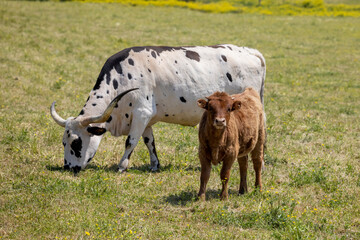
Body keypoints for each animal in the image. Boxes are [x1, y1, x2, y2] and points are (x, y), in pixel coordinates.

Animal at [50, 44, 264, 173]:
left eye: (76, 143)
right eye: (63, 142)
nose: (68, 167)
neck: (121, 80)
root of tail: (250, 51)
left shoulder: (140, 113)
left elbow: (130, 142)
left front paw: (122, 166)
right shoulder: (147, 119)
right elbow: (149, 141)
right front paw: (154, 165)